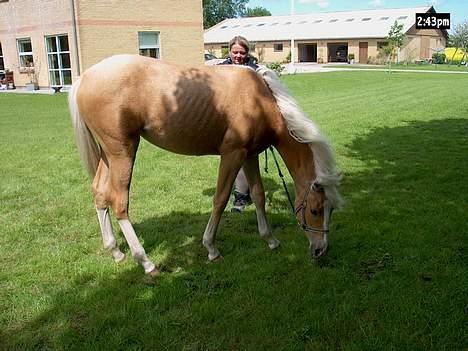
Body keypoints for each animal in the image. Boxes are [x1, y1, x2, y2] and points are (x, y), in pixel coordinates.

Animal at [67, 55, 342, 276]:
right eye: (315, 210)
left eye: (331, 210)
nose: (321, 250)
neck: (260, 99)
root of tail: (85, 77)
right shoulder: (232, 155)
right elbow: (220, 199)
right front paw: (211, 248)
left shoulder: (249, 156)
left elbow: (258, 195)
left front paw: (270, 239)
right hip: (122, 152)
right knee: (119, 202)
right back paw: (146, 262)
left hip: (108, 155)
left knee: (100, 193)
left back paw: (115, 251)